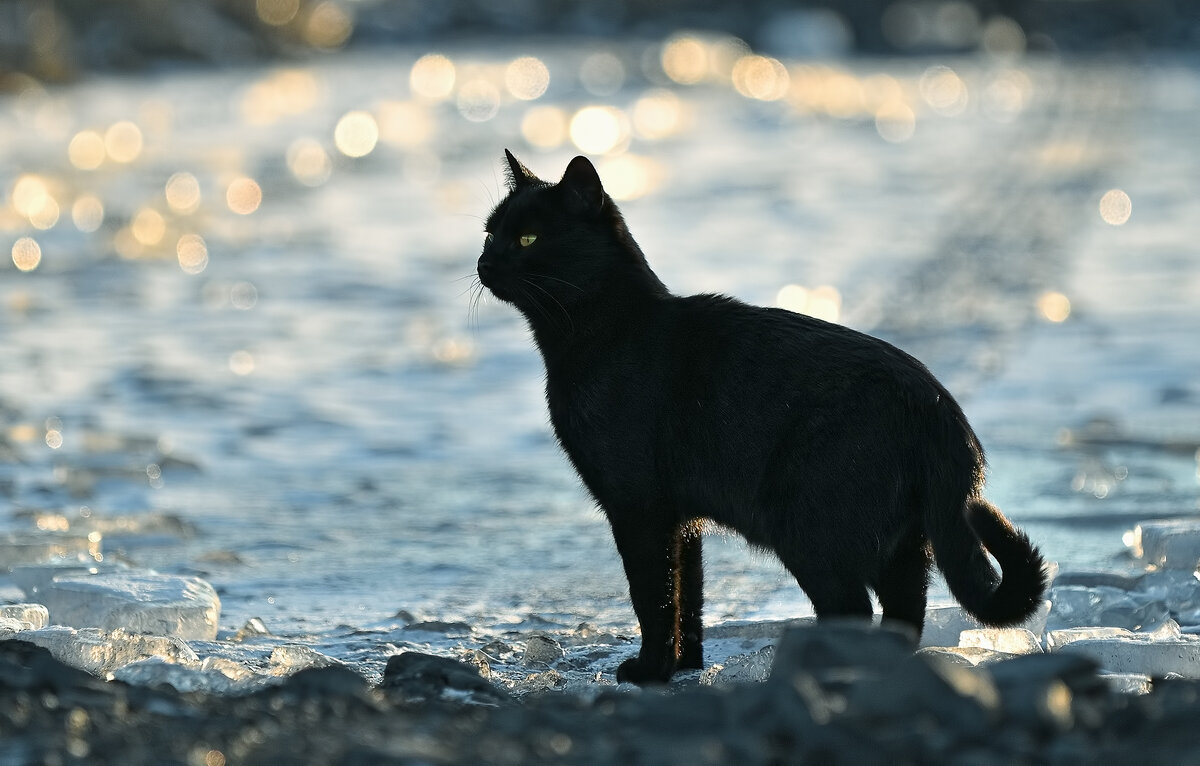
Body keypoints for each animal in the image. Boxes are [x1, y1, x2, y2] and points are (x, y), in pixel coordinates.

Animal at [472, 148, 1046, 681]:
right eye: (490, 232)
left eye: (528, 239)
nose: (484, 262)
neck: (601, 335)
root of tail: (937, 409)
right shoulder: (682, 519)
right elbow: (689, 597)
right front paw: (685, 667)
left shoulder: (639, 507)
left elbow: (653, 598)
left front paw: (651, 671)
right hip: (904, 546)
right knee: (904, 614)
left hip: (810, 528)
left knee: (853, 608)